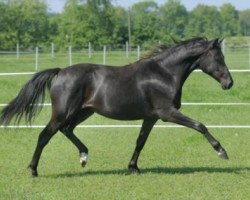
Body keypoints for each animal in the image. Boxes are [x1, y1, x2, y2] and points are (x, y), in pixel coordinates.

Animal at [0, 38, 233, 177]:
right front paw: (222, 152)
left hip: (83, 111)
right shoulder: (167, 113)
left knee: (67, 130)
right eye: (218, 57)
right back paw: (33, 170)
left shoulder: (151, 117)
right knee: (45, 135)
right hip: (63, 112)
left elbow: (140, 141)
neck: (164, 74)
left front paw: (133, 167)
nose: (229, 83)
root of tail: (60, 72)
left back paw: (84, 157)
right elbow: (200, 125)